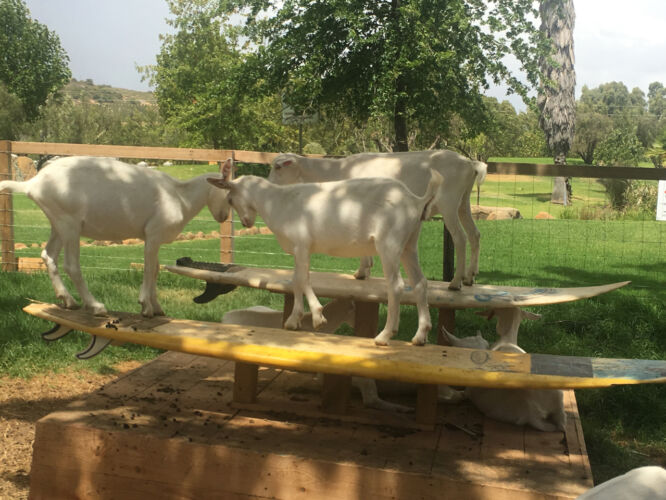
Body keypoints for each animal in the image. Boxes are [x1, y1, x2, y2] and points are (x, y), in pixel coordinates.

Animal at [0, 156, 232, 317]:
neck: (181, 196)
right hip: (70, 224)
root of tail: (33, 184)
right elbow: (149, 269)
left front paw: (157, 307)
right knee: (71, 265)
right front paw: (146, 307)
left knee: (48, 256)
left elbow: (156, 269)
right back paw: (95, 306)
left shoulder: (152, 238)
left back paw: (68, 300)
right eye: (229, 194)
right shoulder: (154, 234)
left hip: (57, 223)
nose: (224, 216)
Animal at [208, 168, 441, 346]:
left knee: (396, 286)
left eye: (230, 199)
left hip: (389, 244)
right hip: (409, 244)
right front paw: (294, 320)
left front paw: (317, 316)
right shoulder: (299, 249)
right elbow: (296, 280)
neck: (278, 202)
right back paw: (420, 336)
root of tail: (415, 200)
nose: (246, 222)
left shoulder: (302, 244)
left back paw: (384, 336)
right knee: (420, 282)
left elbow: (302, 279)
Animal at [267, 150, 487, 290]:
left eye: (278, 167)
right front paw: (365, 270)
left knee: (460, 238)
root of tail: (469, 163)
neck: (336, 171)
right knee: (474, 234)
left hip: (448, 203)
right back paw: (470, 277)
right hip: (463, 203)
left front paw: (361, 271)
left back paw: (455, 282)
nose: (268, 184)